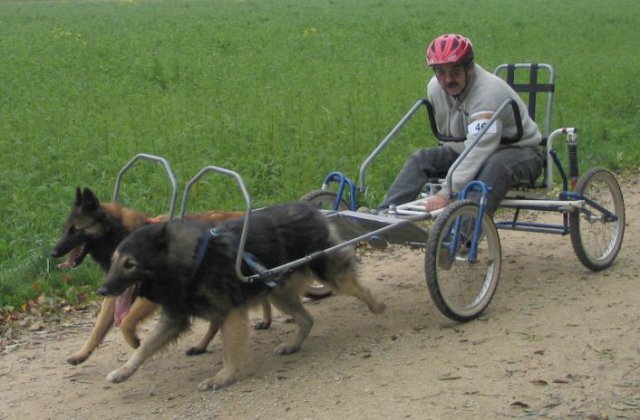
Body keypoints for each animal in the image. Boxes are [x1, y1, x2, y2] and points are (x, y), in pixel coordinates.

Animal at [50, 187, 269, 365]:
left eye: (75, 230)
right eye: (65, 229)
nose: (53, 252)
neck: (122, 233)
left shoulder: (149, 296)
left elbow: (126, 322)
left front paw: (133, 340)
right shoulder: (118, 290)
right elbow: (99, 327)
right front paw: (82, 353)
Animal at [98, 201, 385, 390]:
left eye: (130, 264)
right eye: (113, 261)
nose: (102, 290)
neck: (192, 262)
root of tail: (310, 209)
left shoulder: (230, 313)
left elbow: (229, 352)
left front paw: (223, 377)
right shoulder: (174, 319)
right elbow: (143, 349)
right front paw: (123, 371)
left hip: (329, 275)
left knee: (358, 289)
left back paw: (378, 306)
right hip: (278, 294)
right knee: (307, 319)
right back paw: (293, 345)